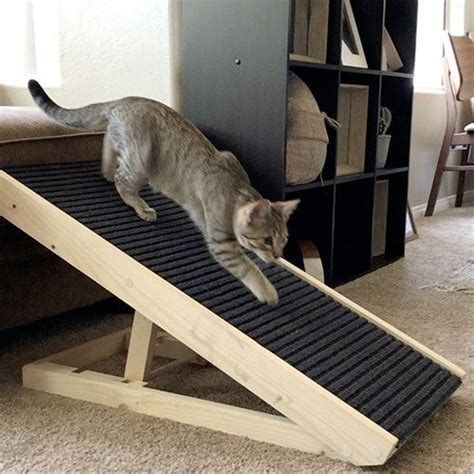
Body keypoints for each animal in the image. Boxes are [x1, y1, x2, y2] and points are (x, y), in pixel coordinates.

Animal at [27, 79, 300, 306]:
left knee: (107, 146)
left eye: (284, 239)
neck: (236, 189)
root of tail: (122, 100)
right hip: (140, 162)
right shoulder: (221, 244)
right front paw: (267, 291)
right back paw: (141, 207)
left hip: (125, 146)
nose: (277, 256)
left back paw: (106, 170)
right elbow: (248, 267)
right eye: (267, 240)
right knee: (122, 181)